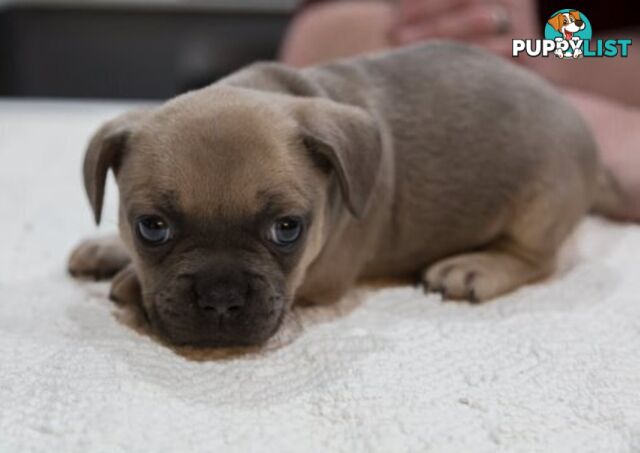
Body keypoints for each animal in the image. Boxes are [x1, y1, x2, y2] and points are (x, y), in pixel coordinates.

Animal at [67, 42, 624, 346]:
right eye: (151, 227)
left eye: (287, 230)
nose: (220, 299)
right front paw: (109, 250)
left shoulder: (323, 275)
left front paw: (126, 279)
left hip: (539, 207)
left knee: (538, 259)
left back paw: (475, 268)